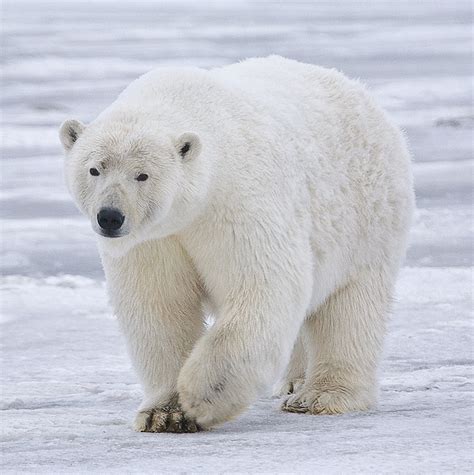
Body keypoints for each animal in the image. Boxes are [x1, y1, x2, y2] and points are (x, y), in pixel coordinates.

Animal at [60, 54, 414, 432]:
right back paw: (293, 382)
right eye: (94, 169)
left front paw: (201, 397)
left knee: (350, 307)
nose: (110, 217)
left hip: (367, 218)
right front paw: (164, 413)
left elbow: (263, 285)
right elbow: (159, 306)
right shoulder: (154, 240)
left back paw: (321, 396)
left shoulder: (236, 201)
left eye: (142, 175)